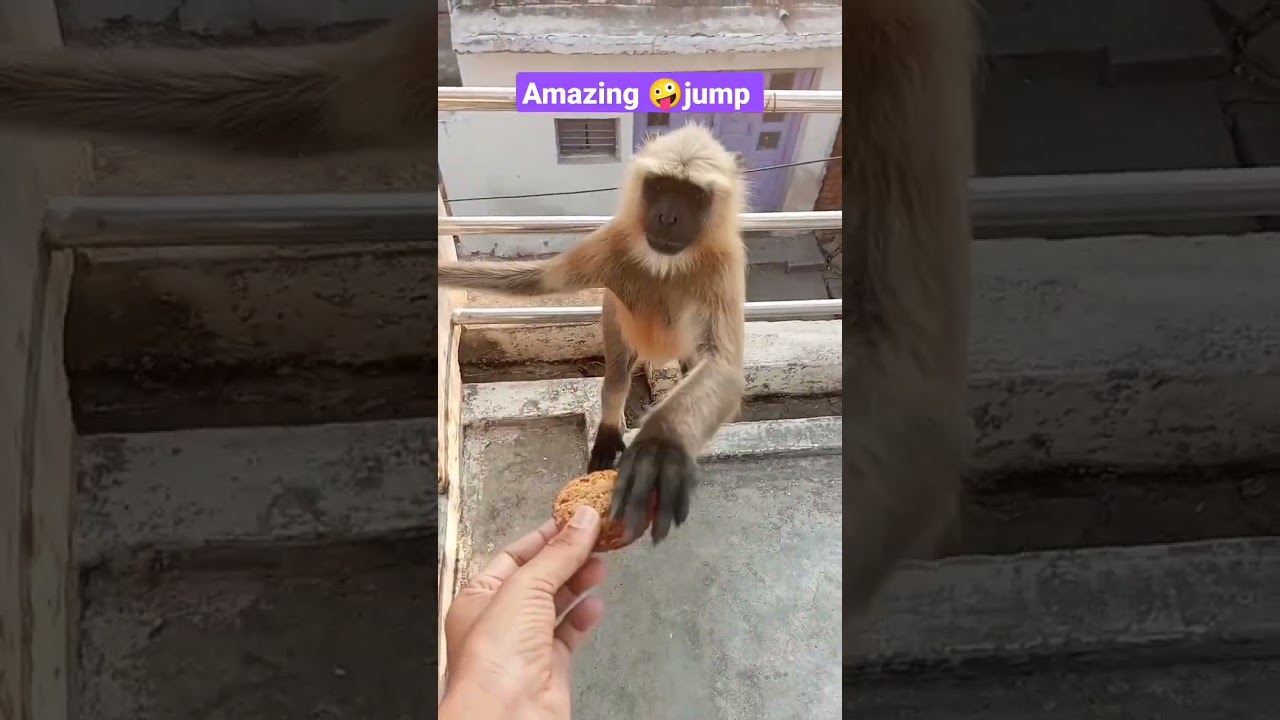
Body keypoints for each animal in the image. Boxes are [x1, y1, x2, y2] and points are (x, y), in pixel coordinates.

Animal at [437, 125, 748, 547]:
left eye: (693, 195)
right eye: (660, 186)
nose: (667, 216)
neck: (664, 266)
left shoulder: (723, 268)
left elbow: (725, 369)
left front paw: (661, 444)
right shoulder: (613, 244)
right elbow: (532, 282)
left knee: (690, 362)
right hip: (615, 321)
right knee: (617, 375)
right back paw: (609, 428)